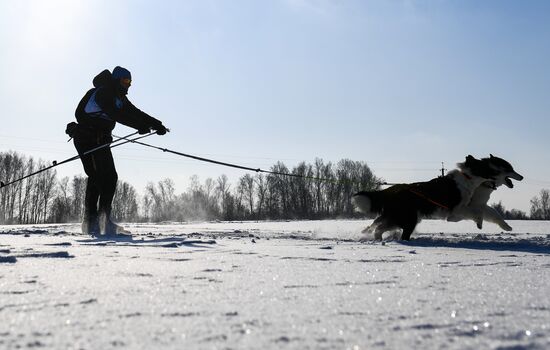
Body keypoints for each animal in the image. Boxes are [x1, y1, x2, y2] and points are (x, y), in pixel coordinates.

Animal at [356, 156, 524, 241]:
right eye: (509, 168)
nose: (522, 177)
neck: (468, 179)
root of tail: (391, 190)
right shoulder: (456, 211)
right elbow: (476, 214)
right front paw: (479, 223)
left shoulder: (471, 207)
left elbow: (492, 213)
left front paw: (504, 226)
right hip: (407, 219)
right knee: (386, 229)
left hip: (399, 218)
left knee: (378, 227)